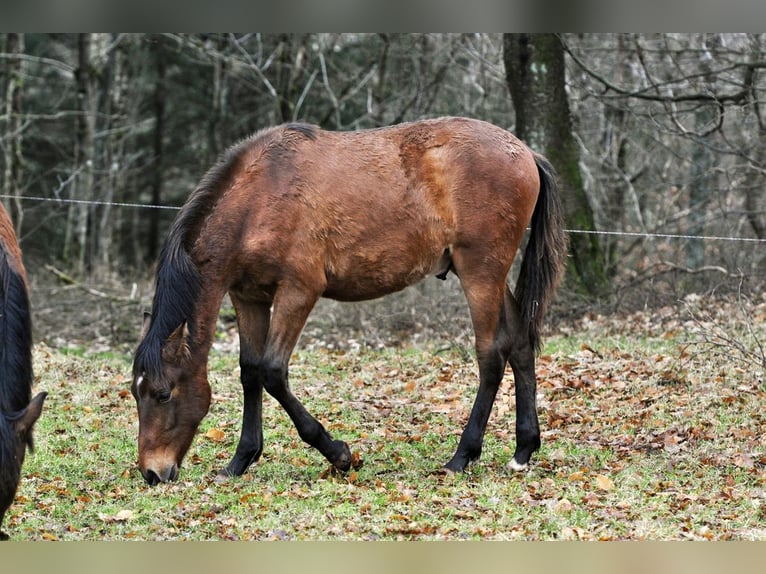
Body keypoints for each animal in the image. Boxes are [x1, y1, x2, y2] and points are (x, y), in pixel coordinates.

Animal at [132, 117, 568, 486]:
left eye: (163, 393)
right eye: (136, 393)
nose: (153, 473)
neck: (259, 197)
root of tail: (526, 152)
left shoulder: (298, 291)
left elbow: (273, 372)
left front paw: (338, 454)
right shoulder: (249, 297)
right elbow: (250, 373)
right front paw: (241, 460)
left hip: (480, 272)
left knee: (491, 355)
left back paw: (463, 455)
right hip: (485, 275)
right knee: (521, 344)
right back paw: (523, 450)